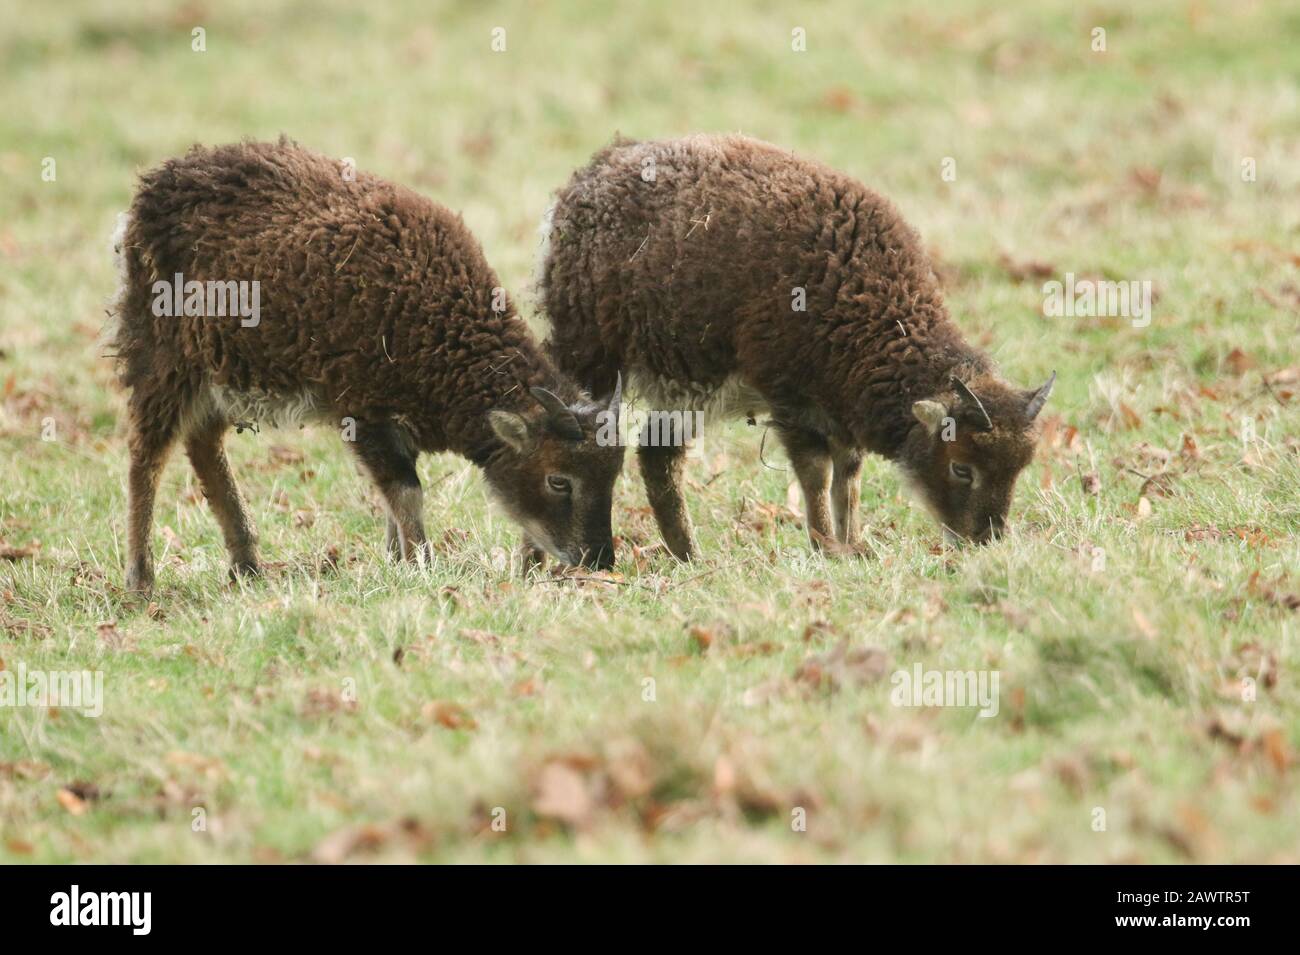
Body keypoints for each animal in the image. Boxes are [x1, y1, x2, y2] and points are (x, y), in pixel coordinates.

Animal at [106, 140, 624, 597]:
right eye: (559, 480)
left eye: (614, 477)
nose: (598, 560)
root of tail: (150, 195)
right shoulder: (363, 411)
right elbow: (406, 492)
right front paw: (422, 566)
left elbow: (395, 500)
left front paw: (399, 561)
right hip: (165, 363)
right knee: (146, 456)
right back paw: (141, 580)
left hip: (218, 376)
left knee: (203, 446)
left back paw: (247, 566)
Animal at [538, 130, 1055, 556]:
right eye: (962, 468)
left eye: (1019, 468)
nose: (985, 539)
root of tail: (587, 182)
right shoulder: (791, 402)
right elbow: (817, 475)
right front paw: (827, 546)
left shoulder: (840, 411)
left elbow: (848, 479)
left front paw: (854, 544)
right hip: (594, 362)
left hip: (684, 390)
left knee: (657, 456)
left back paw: (688, 554)